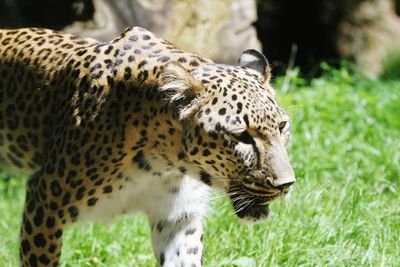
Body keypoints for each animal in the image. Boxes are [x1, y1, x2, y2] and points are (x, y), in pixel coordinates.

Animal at [0, 25, 294, 267]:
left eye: (282, 127)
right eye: (242, 136)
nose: (286, 185)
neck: (162, 161)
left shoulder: (178, 218)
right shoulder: (44, 206)